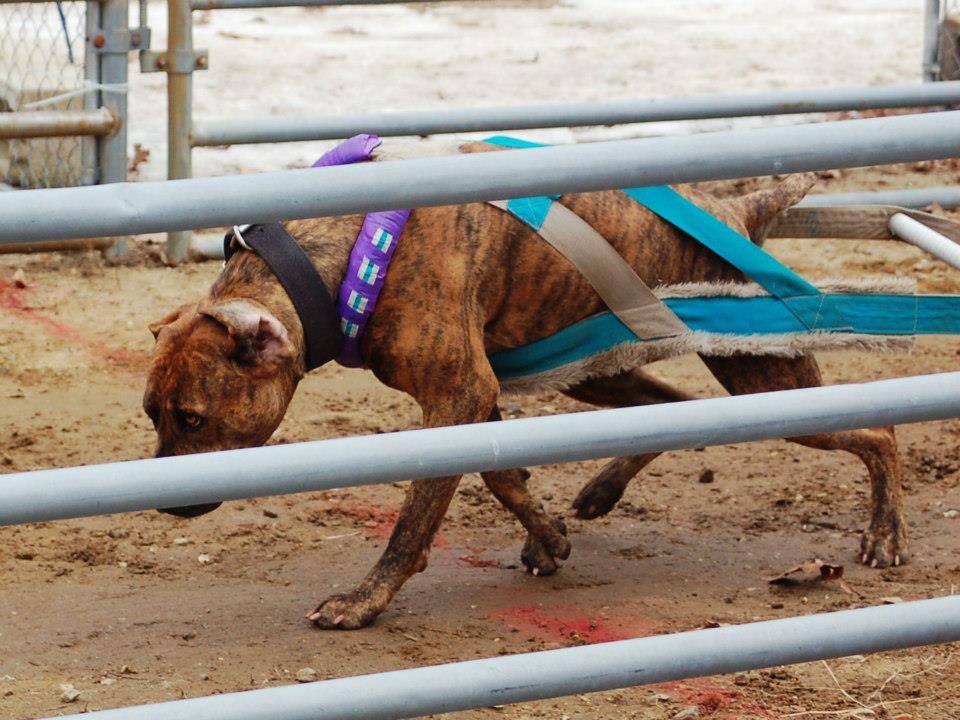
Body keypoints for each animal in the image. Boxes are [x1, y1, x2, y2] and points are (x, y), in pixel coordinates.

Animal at [144, 149, 908, 628]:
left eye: (192, 419)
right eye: (152, 415)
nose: (163, 502)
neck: (336, 259)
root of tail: (736, 209)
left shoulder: (457, 396)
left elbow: (415, 519)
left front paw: (365, 602)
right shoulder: (476, 400)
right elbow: (503, 476)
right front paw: (548, 537)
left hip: (767, 380)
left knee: (880, 428)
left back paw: (886, 534)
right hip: (604, 371)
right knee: (673, 409)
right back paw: (602, 490)